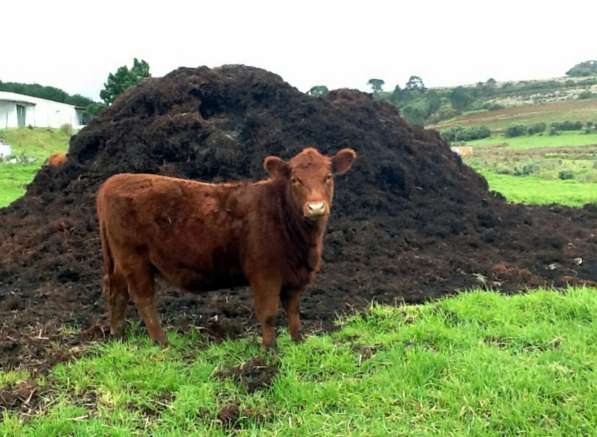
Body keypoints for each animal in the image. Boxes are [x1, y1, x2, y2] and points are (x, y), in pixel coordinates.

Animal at [96, 148, 356, 346]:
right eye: (295, 180)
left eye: (328, 177)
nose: (316, 207)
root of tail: (113, 180)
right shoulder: (264, 273)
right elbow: (268, 314)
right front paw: (270, 350)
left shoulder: (294, 277)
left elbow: (293, 311)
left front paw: (297, 342)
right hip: (134, 259)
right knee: (143, 298)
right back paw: (162, 342)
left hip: (120, 261)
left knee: (117, 293)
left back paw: (118, 336)